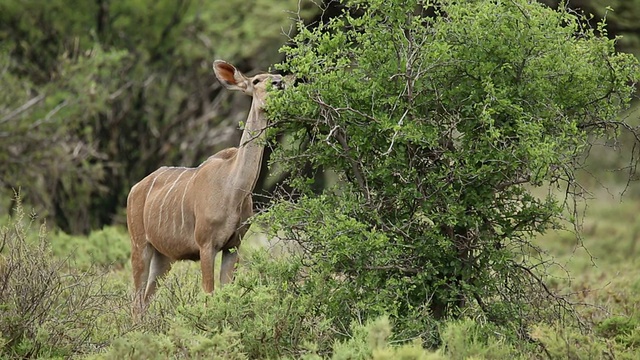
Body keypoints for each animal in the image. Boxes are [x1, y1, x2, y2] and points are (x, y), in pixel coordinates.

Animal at [125, 59, 284, 316]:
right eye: (257, 80)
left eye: (277, 76)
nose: (280, 82)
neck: (233, 189)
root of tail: (135, 189)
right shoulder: (206, 245)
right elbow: (209, 296)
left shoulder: (233, 246)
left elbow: (227, 295)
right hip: (140, 245)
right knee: (137, 301)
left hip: (164, 257)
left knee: (146, 299)